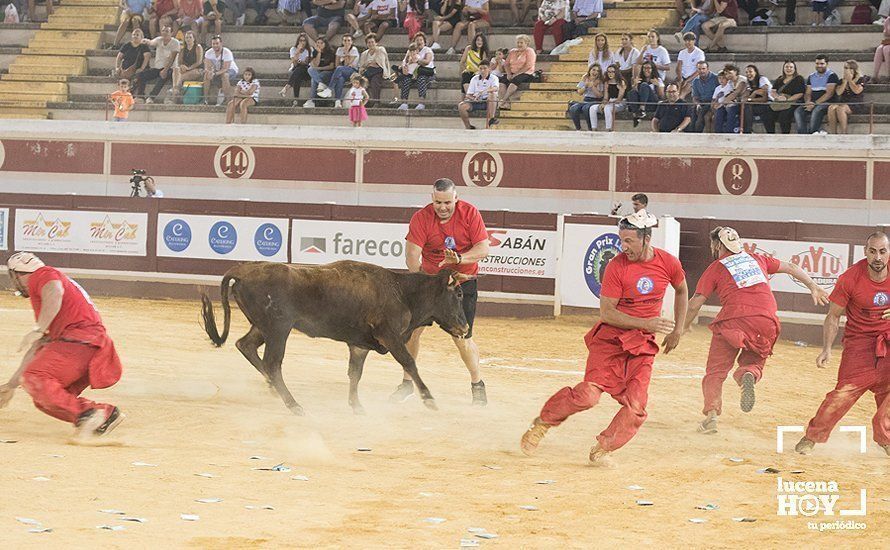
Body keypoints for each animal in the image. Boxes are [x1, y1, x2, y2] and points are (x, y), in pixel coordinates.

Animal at [199, 262, 468, 414]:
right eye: (458, 294)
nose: (465, 327)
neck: (402, 292)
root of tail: (242, 271)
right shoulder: (389, 336)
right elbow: (409, 362)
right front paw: (429, 399)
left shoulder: (359, 345)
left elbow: (355, 373)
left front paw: (356, 406)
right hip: (278, 328)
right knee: (272, 363)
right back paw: (294, 404)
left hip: (263, 326)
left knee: (246, 346)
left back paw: (274, 389)